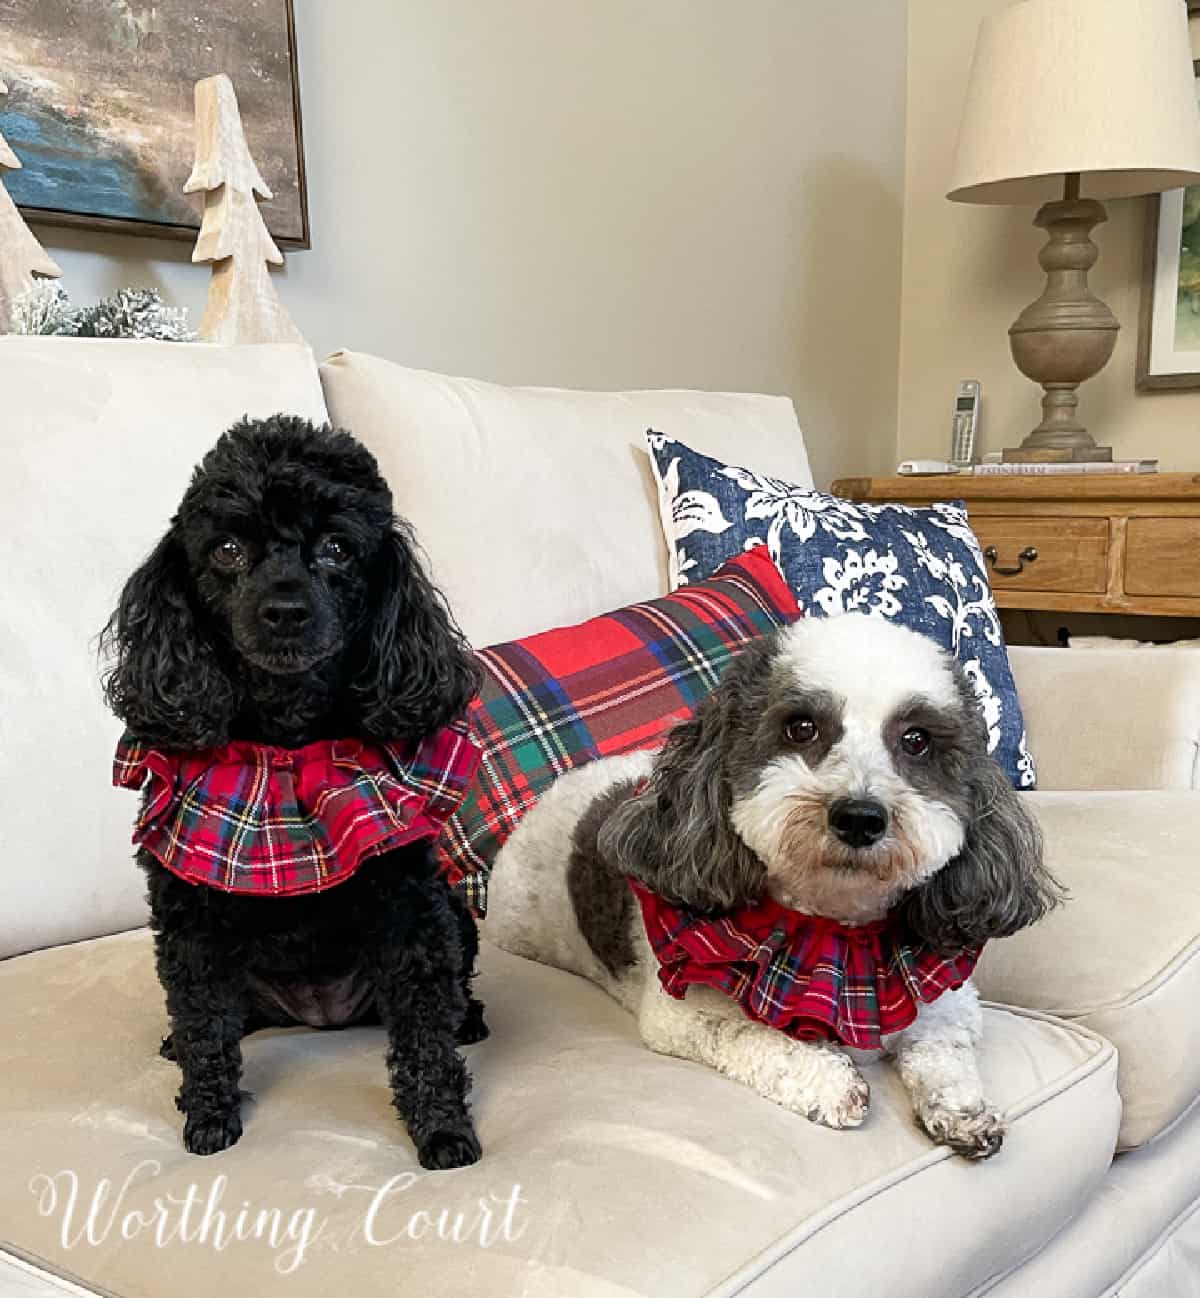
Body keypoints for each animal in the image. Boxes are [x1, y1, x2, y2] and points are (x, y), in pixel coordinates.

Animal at [483, 612, 1054, 1163]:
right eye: (801, 728)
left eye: (916, 740)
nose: (860, 817)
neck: (837, 930)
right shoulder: (679, 1014)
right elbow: (752, 1035)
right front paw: (833, 1084)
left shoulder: (947, 1003)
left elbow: (943, 1055)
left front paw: (964, 1114)